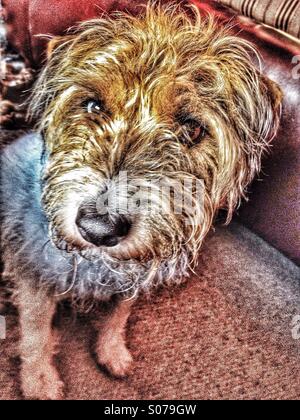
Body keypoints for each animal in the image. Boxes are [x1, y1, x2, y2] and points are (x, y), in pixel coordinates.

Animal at [0, 4, 282, 400]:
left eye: (192, 128)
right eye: (93, 105)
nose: (98, 228)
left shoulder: (134, 270)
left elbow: (119, 313)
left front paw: (111, 351)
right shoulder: (36, 273)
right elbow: (37, 333)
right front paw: (40, 380)